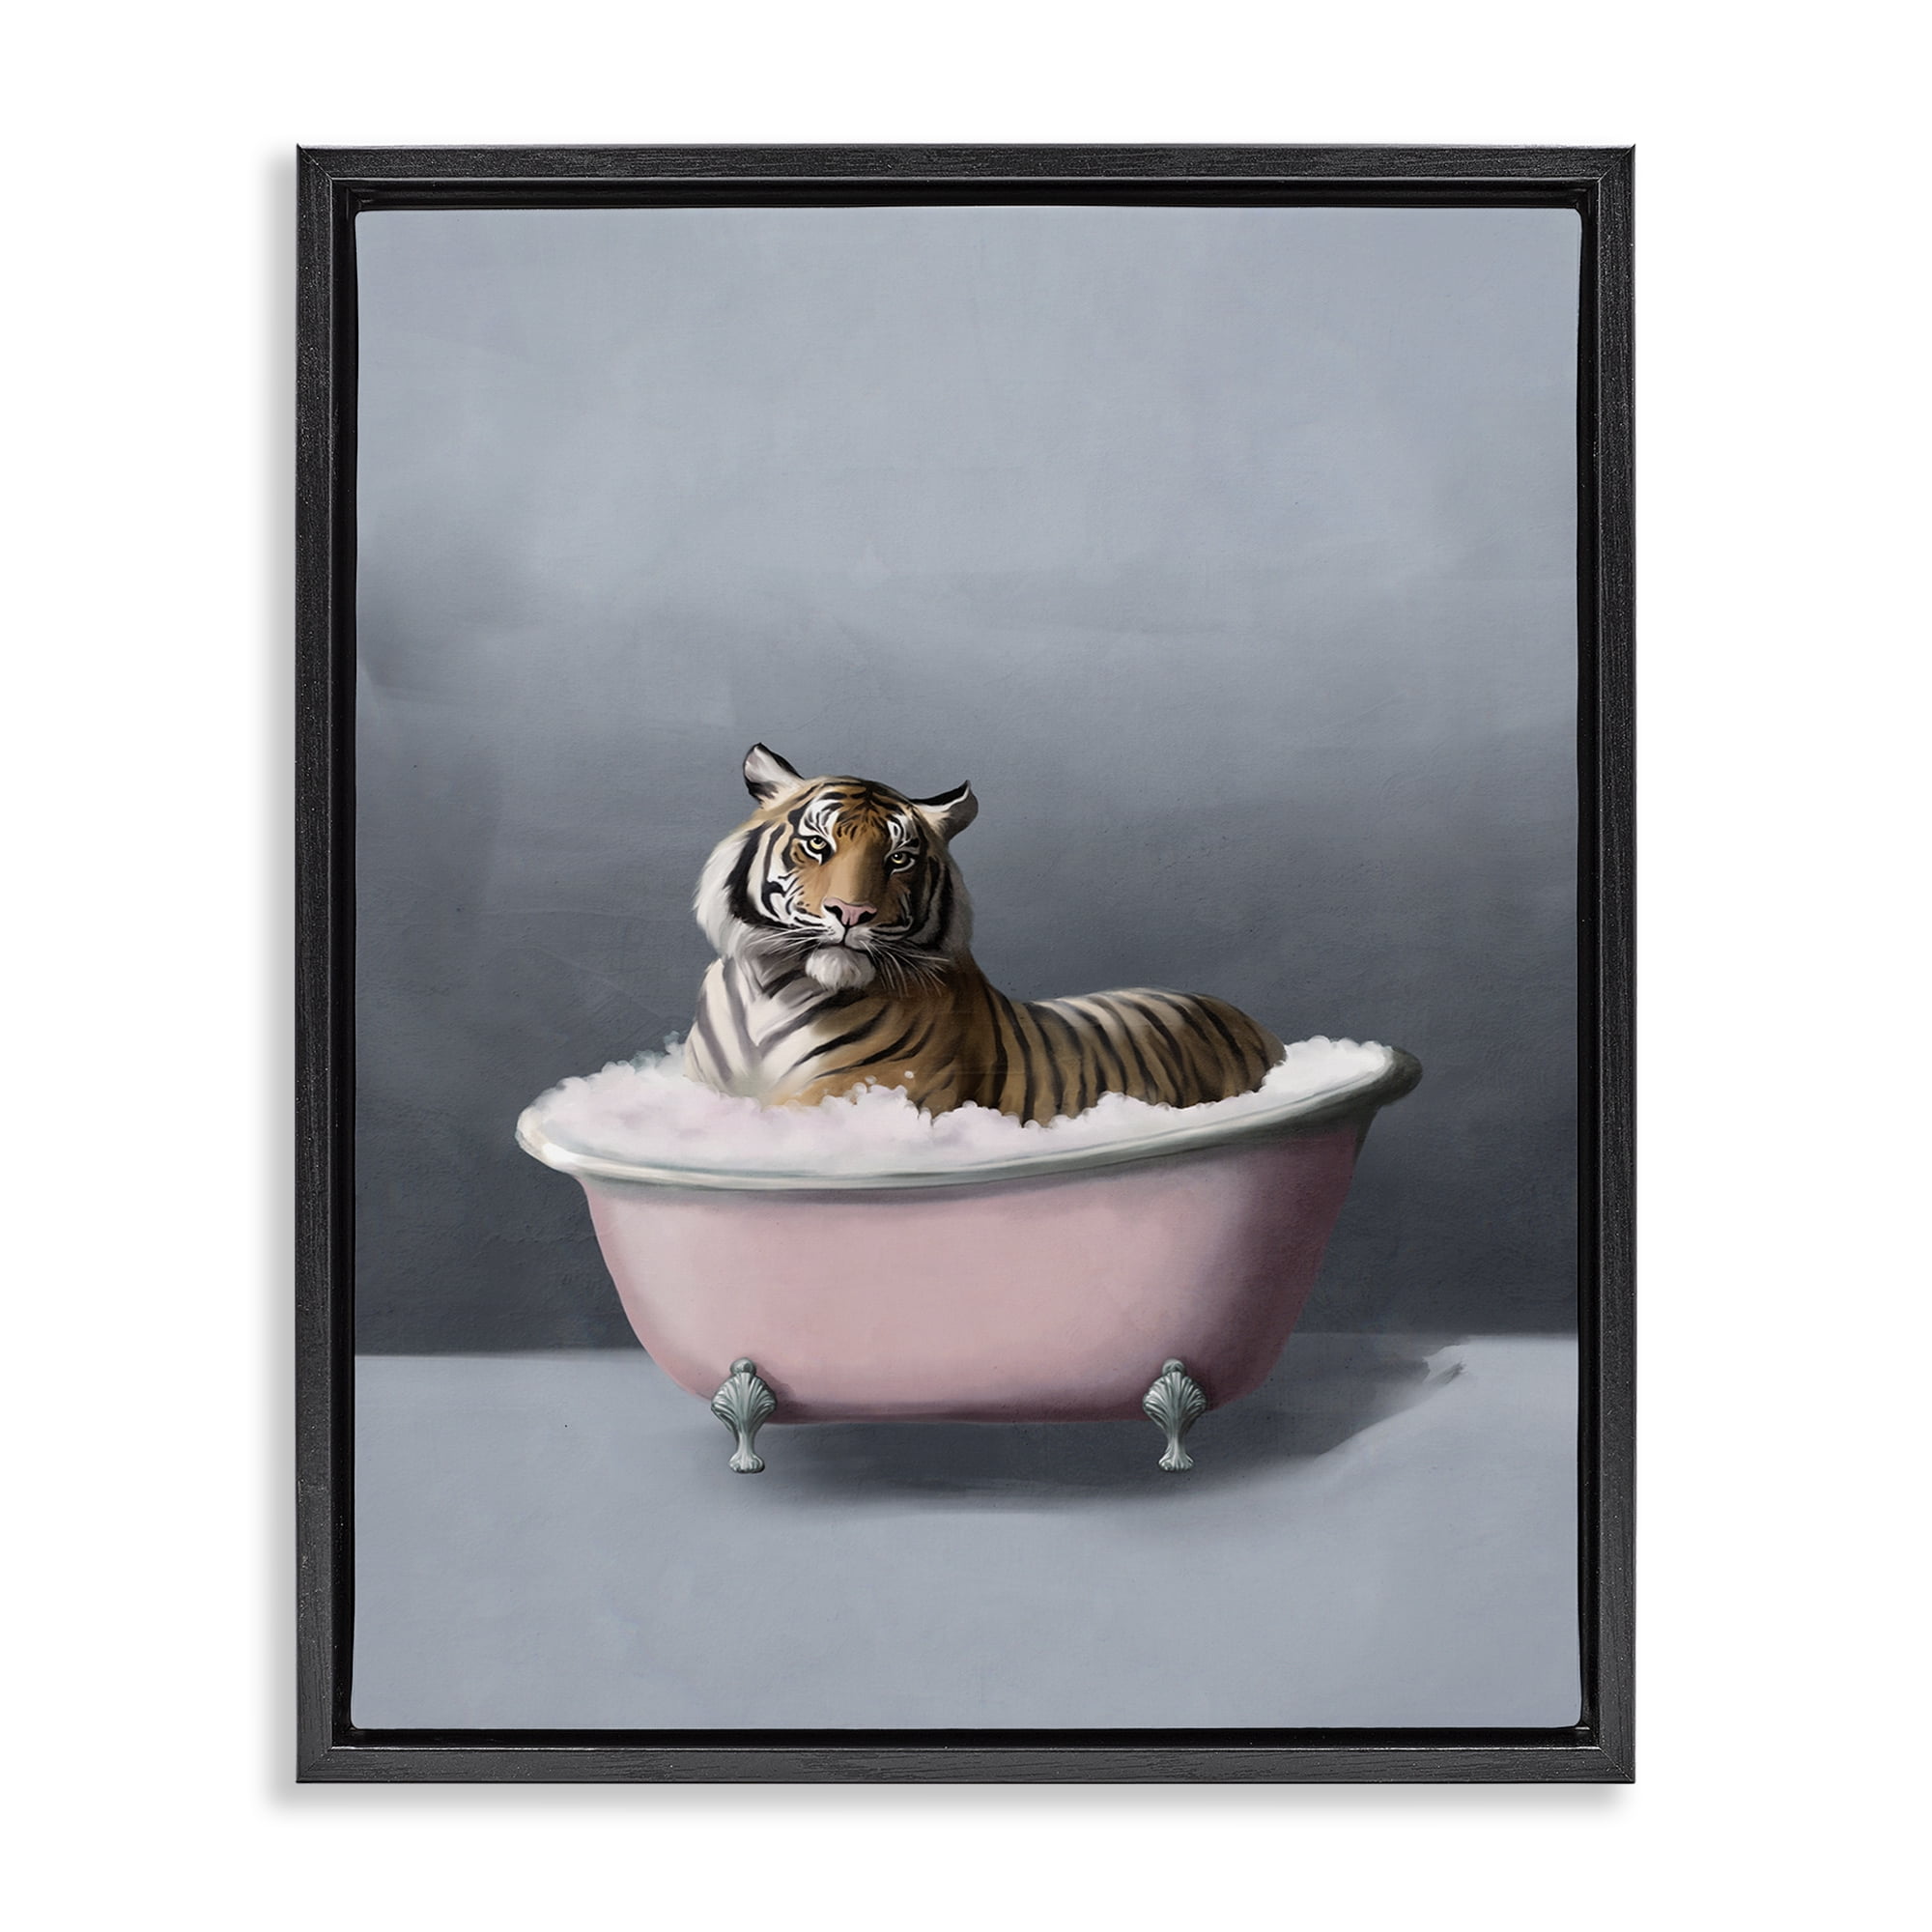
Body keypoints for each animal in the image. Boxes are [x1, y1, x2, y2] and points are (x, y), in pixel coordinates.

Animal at [683, 744, 1283, 1125]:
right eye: (817, 845)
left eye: (900, 858)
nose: (852, 913)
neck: (771, 993)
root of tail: (1259, 1028)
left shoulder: (859, 1091)